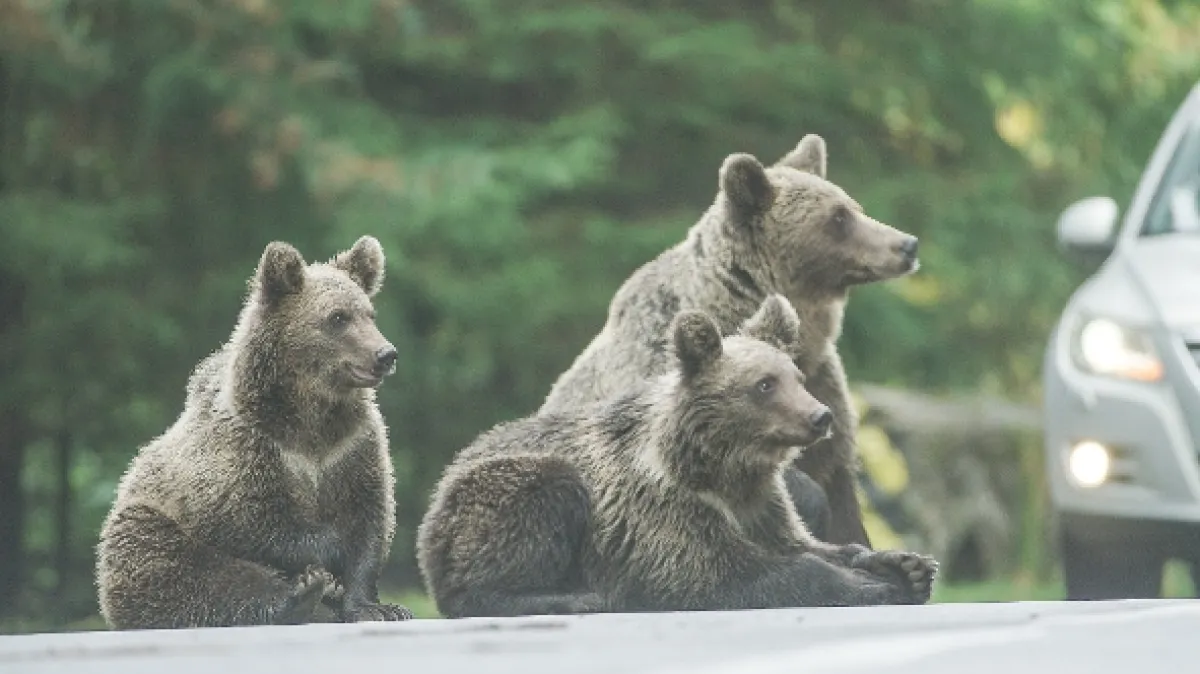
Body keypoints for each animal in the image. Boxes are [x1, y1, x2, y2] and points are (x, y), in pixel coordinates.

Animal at [95, 236, 413, 629]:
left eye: (370, 314)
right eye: (338, 317)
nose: (386, 354)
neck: (309, 418)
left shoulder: (351, 446)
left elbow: (369, 521)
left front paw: (376, 606)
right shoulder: (247, 446)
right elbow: (248, 519)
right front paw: (329, 560)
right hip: (143, 524)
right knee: (182, 569)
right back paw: (302, 595)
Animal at [416, 295, 937, 618]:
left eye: (796, 376)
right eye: (764, 384)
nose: (820, 416)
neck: (722, 468)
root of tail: (439, 491)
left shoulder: (761, 504)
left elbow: (805, 543)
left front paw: (902, 565)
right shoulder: (662, 507)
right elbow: (721, 571)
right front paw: (872, 587)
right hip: (492, 496)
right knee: (539, 500)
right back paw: (568, 598)